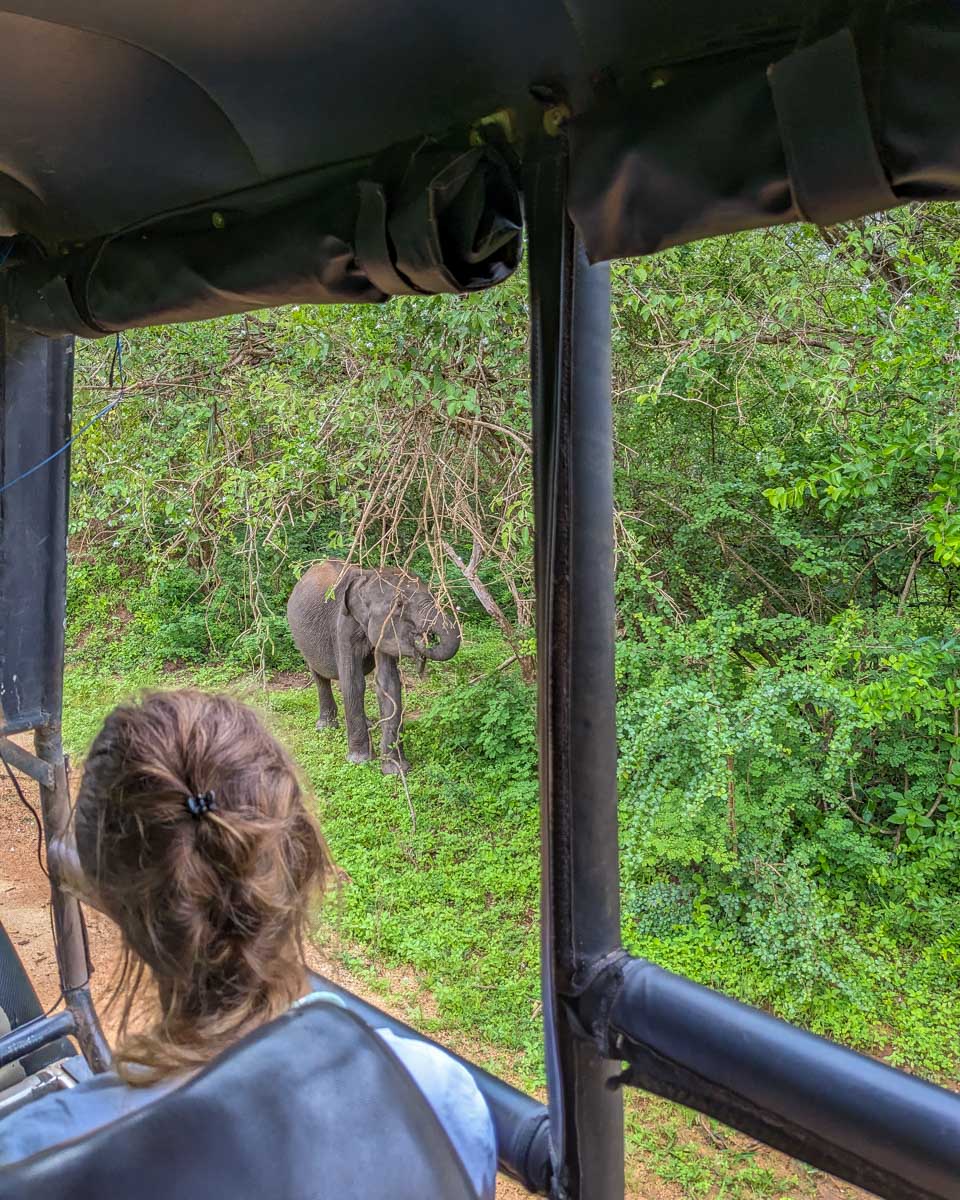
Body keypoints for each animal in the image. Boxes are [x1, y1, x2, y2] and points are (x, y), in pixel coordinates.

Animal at [287, 559, 461, 774]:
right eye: (399, 604)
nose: (420, 638)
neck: (367, 576)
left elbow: (388, 684)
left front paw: (396, 770)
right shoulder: (343, 626)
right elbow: (353, 683)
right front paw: (359, 761)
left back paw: (369, 723)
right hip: (301, 639)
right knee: (319, 675)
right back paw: (326, 726)